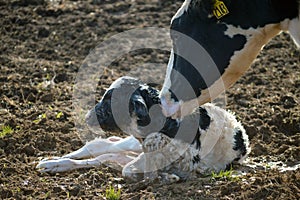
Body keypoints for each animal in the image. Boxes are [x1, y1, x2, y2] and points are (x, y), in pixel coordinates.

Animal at [36, 76, 250, 183]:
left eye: (112, 101)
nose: (87, 117)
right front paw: (164, 178)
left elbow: (125, 168)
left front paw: (165, 178)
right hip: (131, 144)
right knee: (101, 146)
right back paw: (50, 162)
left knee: (105, 153)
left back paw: (54, 164)